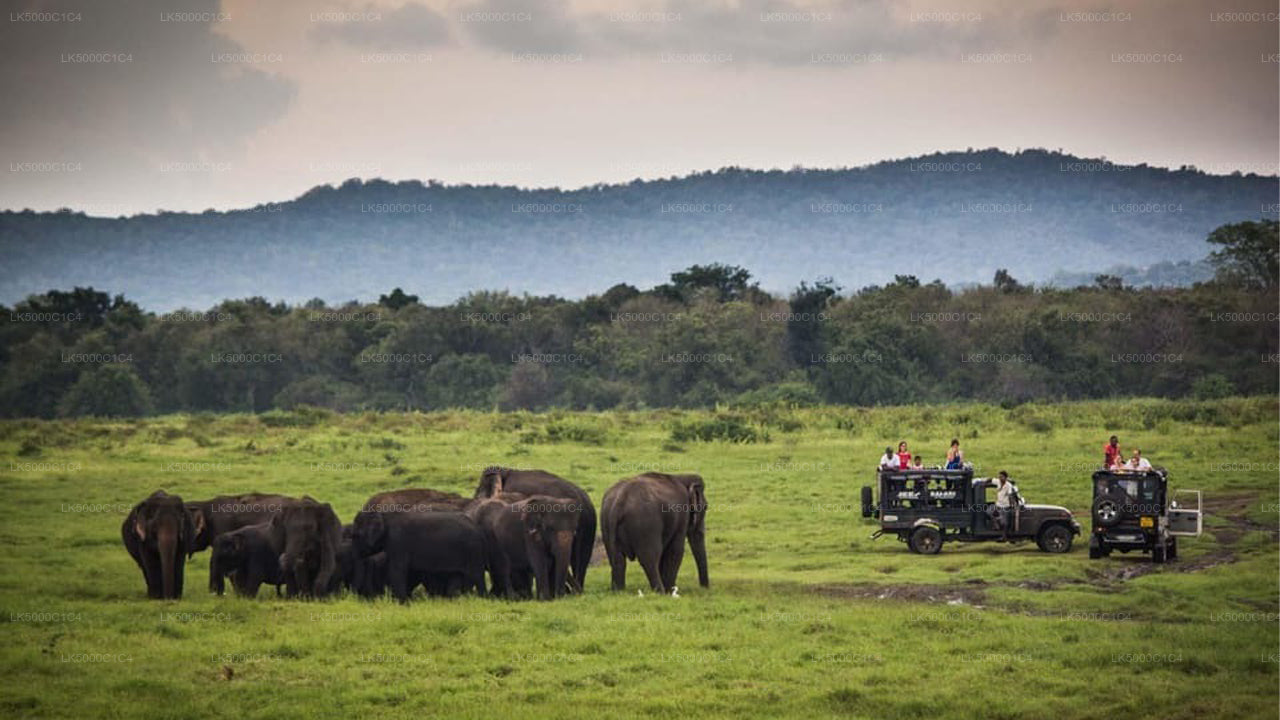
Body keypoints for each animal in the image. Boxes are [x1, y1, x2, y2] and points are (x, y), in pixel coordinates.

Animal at [351, 509, 486, 603]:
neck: (384, 515)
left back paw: (482, 599)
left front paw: (401, 603)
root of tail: (476, 527)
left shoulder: (398, 542)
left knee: (476, 575)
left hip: (472, 550)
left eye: (356, 535)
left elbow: (397, 570)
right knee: (459, 575)